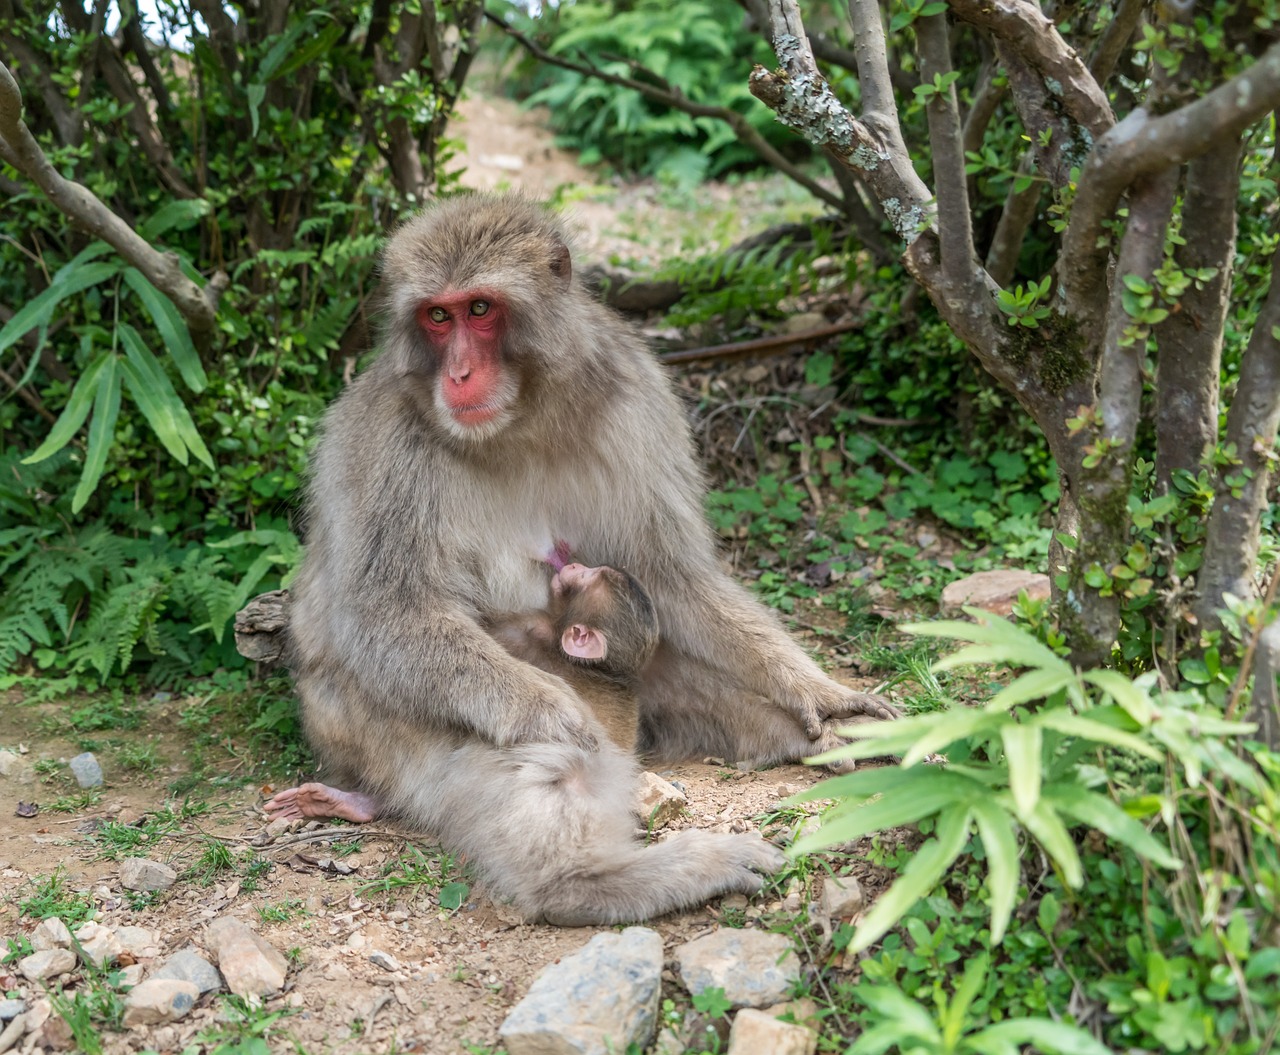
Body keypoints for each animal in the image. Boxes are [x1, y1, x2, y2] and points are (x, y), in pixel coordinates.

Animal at [264, 192, 896, 921]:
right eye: (437, 316)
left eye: (480, 308)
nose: (458, 372)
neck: (516, 422)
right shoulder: (383, 443)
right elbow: (386, 617)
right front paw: (553, 710)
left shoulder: (634, 397)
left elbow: (670, 573)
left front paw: (817, 692)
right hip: (377, 733)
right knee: (538, 765)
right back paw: (602, 880)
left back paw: (799, 734)